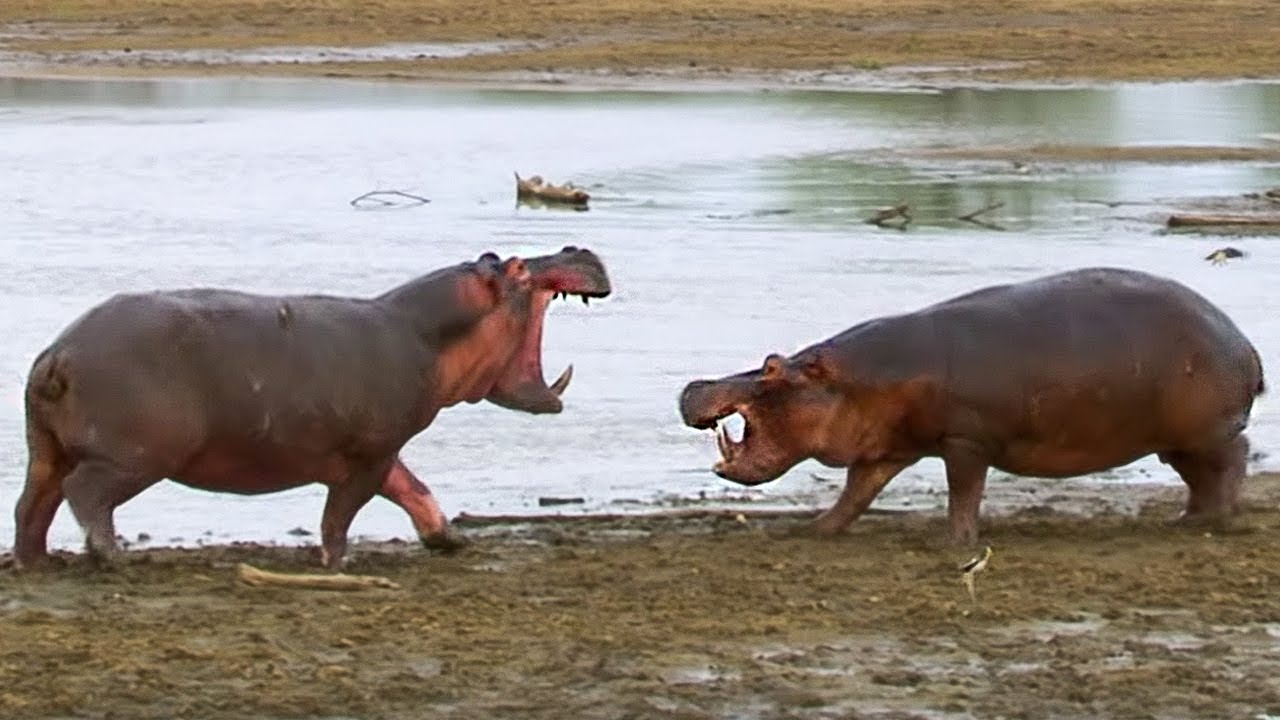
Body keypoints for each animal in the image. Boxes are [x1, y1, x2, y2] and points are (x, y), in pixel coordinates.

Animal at [13, 247, 610, 569]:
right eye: (516, 268)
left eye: (493, 256)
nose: (577, 246)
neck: (426, 332)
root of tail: (56, 353)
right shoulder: (370, 454)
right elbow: (343, 511)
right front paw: (338, 563)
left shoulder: (385, 450)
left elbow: (413, 489)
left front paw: (449, 539)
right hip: (134, 456)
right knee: (86, 494)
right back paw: (112, 557)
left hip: (47, 450)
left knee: (32, 504)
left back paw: (33, 561)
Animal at [679, 267, 1265, 543]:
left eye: (772, 366)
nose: (693, 385)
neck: (856, 382)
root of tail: (1243, 342)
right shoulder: (887, 448)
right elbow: (856, 493)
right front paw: (816, 529)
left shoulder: (965, 441)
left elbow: (964, 492)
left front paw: (956, 542)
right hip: (1174, 441)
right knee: (1199, 475)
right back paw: (1187, 519)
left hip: (1207, 431)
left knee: (1233, 460)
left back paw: (1220, 522)